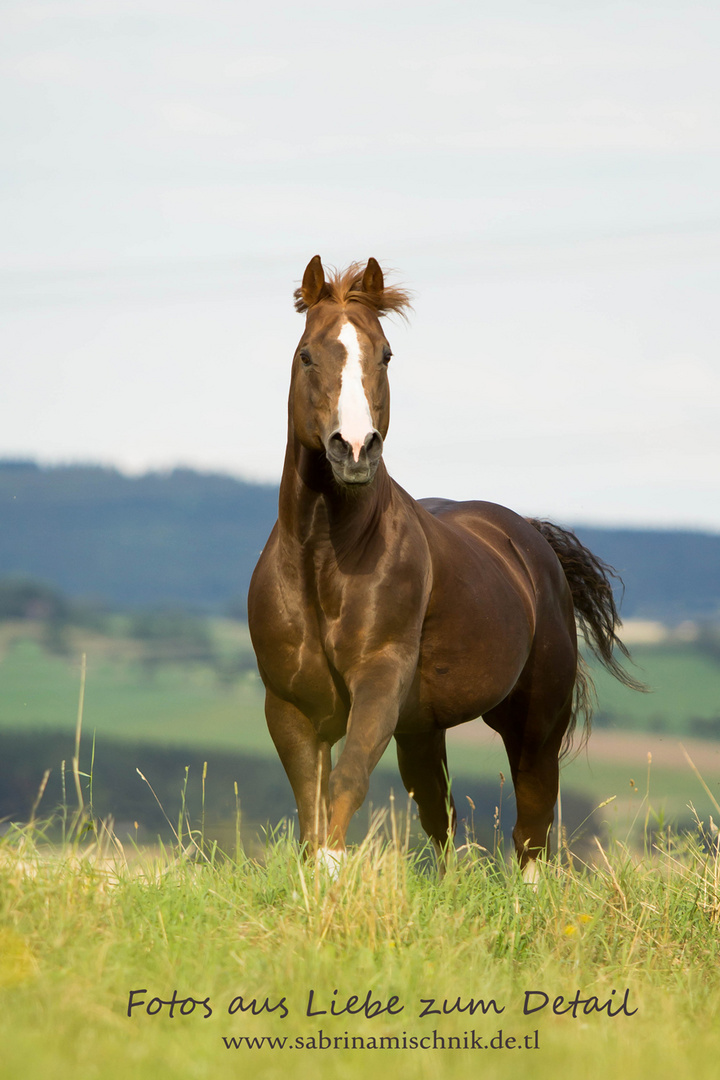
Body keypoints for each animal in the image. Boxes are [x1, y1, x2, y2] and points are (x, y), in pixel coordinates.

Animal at [249, 257, 643, 881]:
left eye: (385, 354)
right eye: (307, 355)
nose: (354, 449)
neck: (321, 559)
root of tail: (531, 539)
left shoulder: (379, 682)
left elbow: (346, 781)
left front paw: (334, 882)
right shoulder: (290, 705)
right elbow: (311, 805)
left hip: (535, 722)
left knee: (532, 823)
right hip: (422, 728)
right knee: (443, 815)